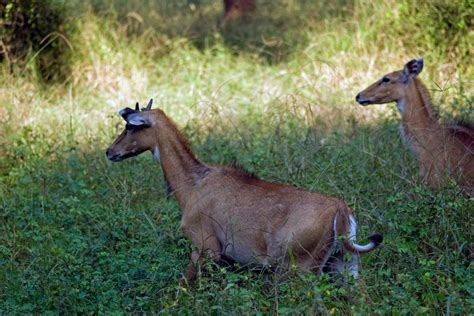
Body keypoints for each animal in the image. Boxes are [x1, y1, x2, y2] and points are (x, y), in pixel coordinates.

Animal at [106, 99, 382, 282]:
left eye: (130, 127)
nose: (110, 151)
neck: (193, 184)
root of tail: (342, 213)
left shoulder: (205, 247)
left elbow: (183, 285)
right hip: (345, 265)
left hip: (299, 268)